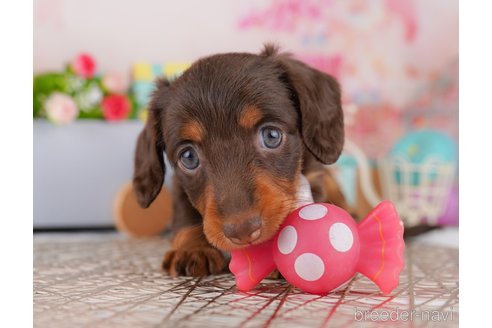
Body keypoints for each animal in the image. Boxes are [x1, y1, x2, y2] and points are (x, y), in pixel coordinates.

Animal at [133, 44, 352, 276]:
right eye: (188, 157)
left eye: (272, 136)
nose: (243, 231)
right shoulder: (179, 188)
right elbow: (185, 216)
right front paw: (192, 247)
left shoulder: (315, 176)